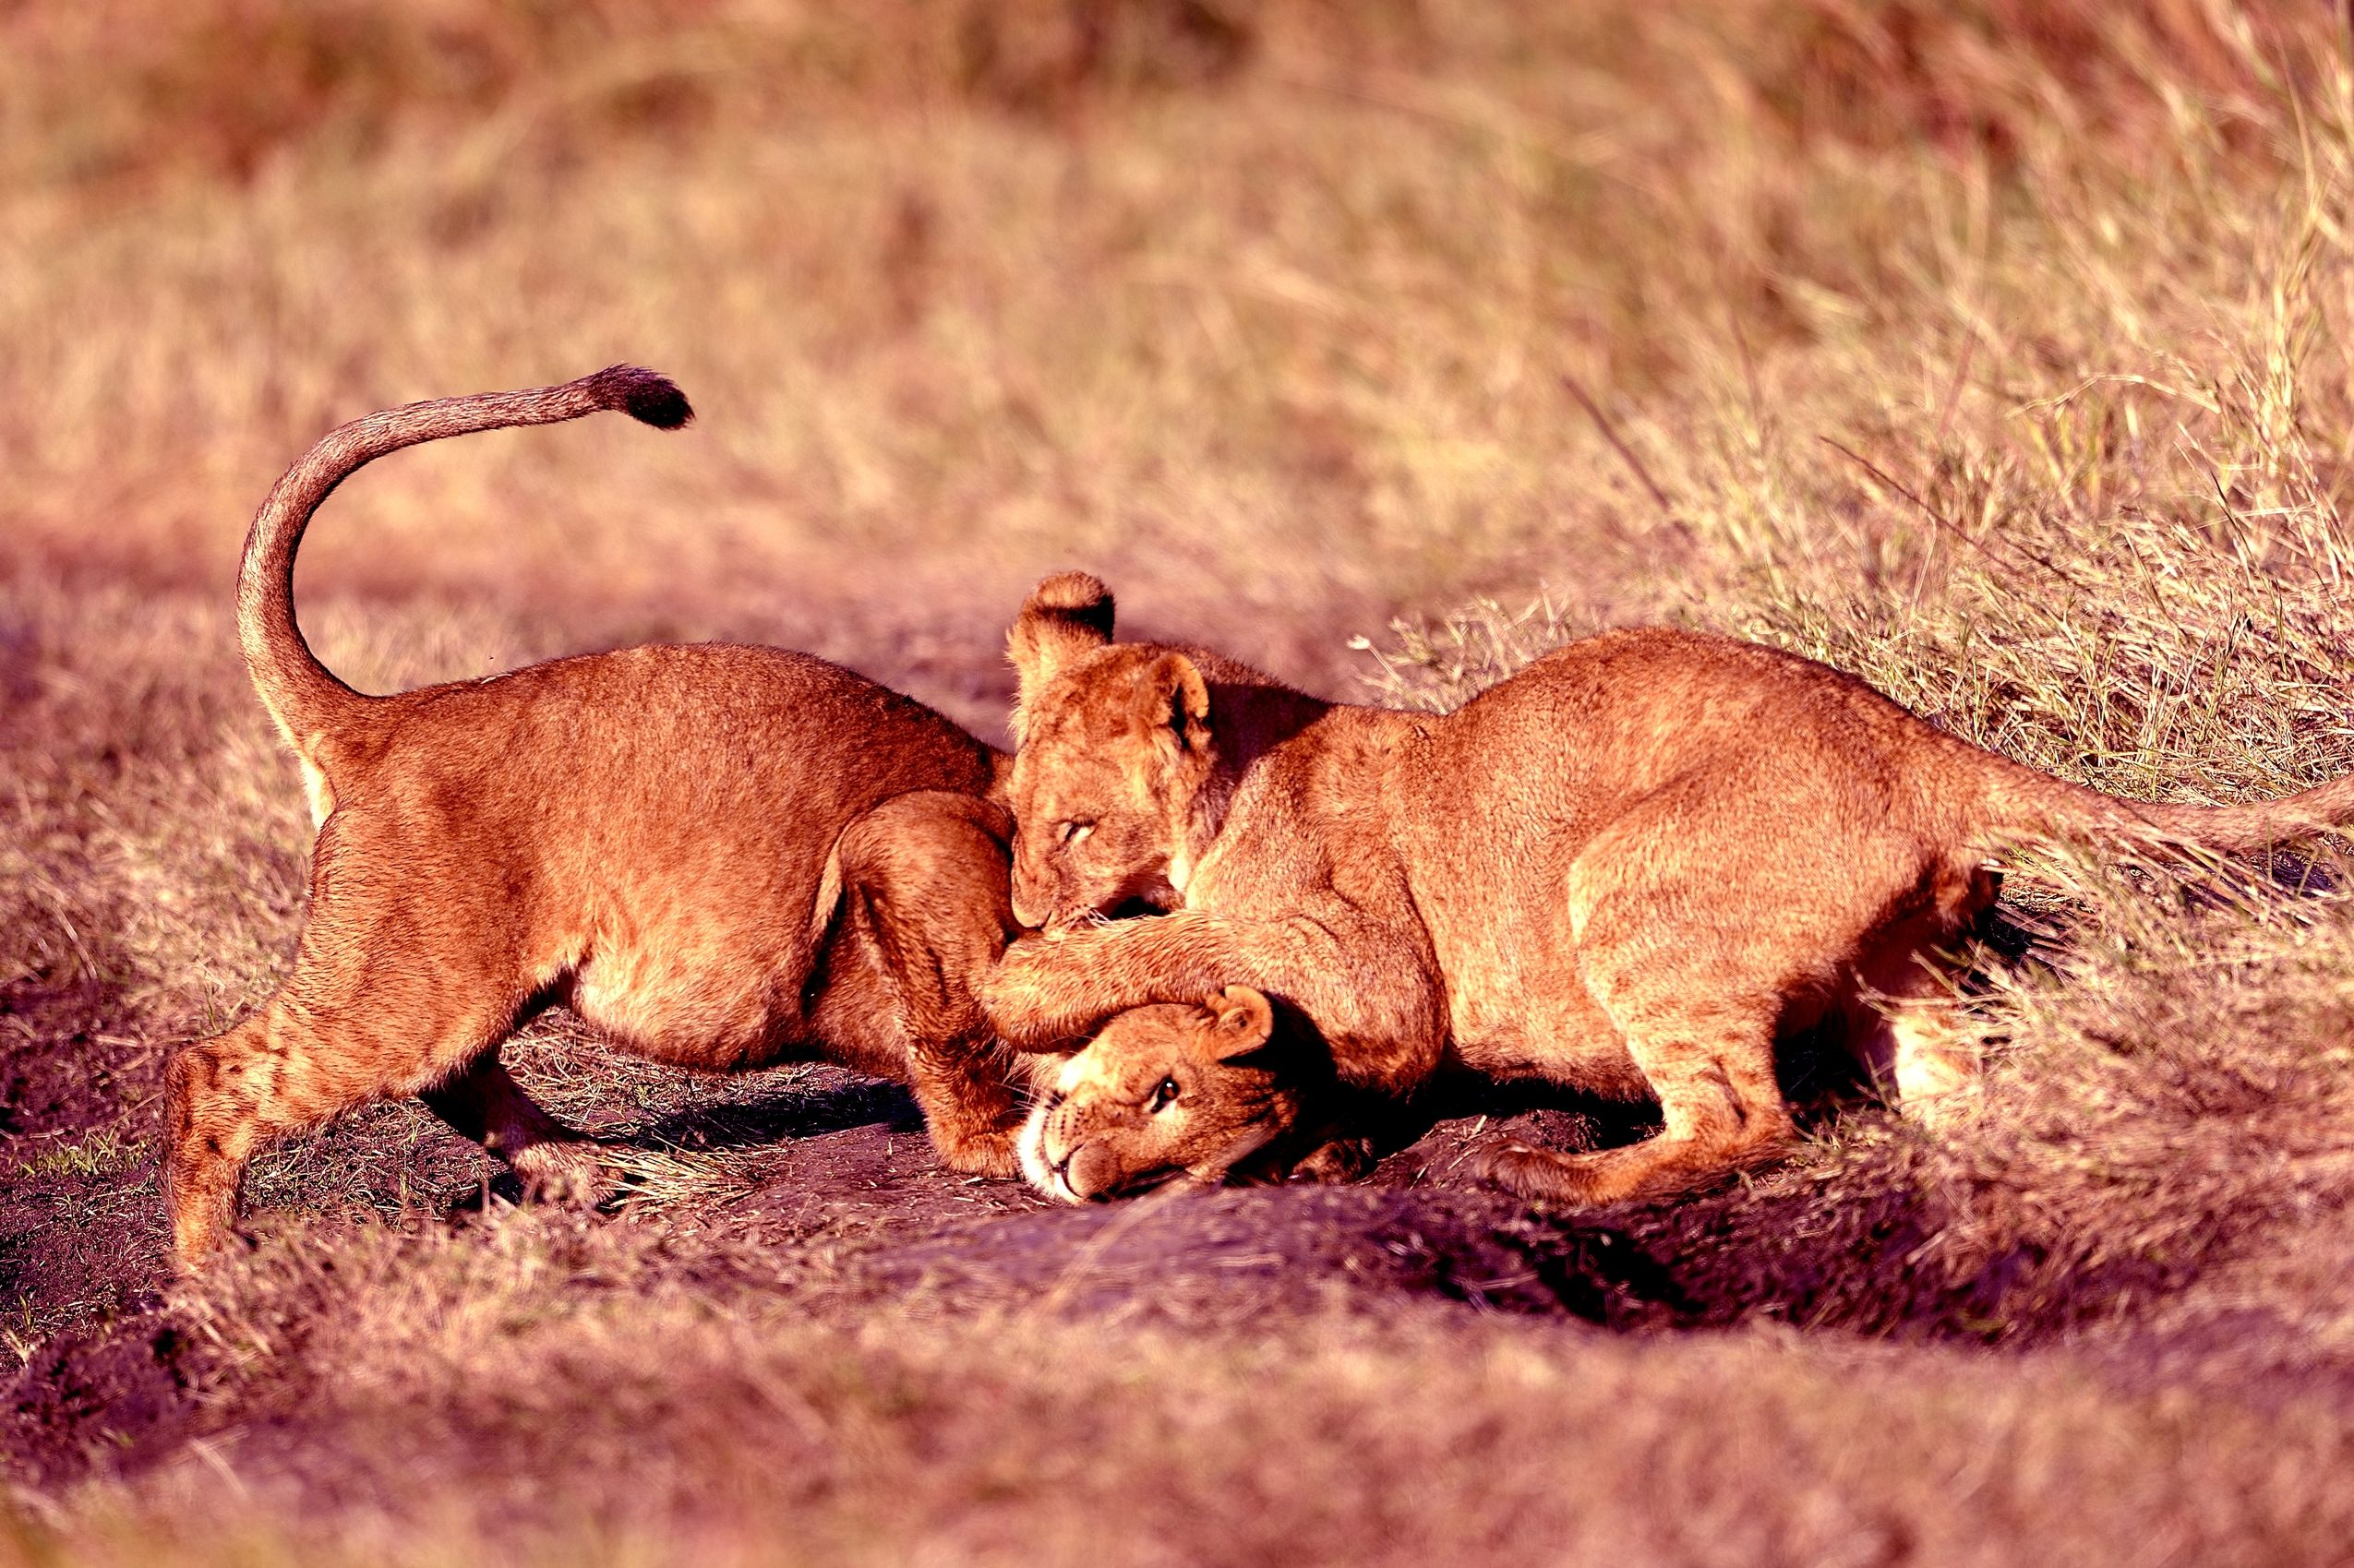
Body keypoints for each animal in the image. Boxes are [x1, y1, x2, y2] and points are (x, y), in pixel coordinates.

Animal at [164, 366, 1047, 1264]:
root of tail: (390, 717)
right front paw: (1000, 1146)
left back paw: (593, 1172)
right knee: (211, 1075)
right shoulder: (907, 847)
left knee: (452, 1075)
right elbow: (952, 1029)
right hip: (411, 987)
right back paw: (212, 1272)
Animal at [985, 571, 2354, 1208]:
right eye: (1012, 820)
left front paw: (1028, 977)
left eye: (1076, 826)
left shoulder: (1364, 962)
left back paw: (1540, 1177)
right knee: (1948, 1090)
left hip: (1627, 885)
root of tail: (1924, 746)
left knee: (1745, 1123)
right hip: (1905, 967)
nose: (1032, 908)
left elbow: (1186, 941)